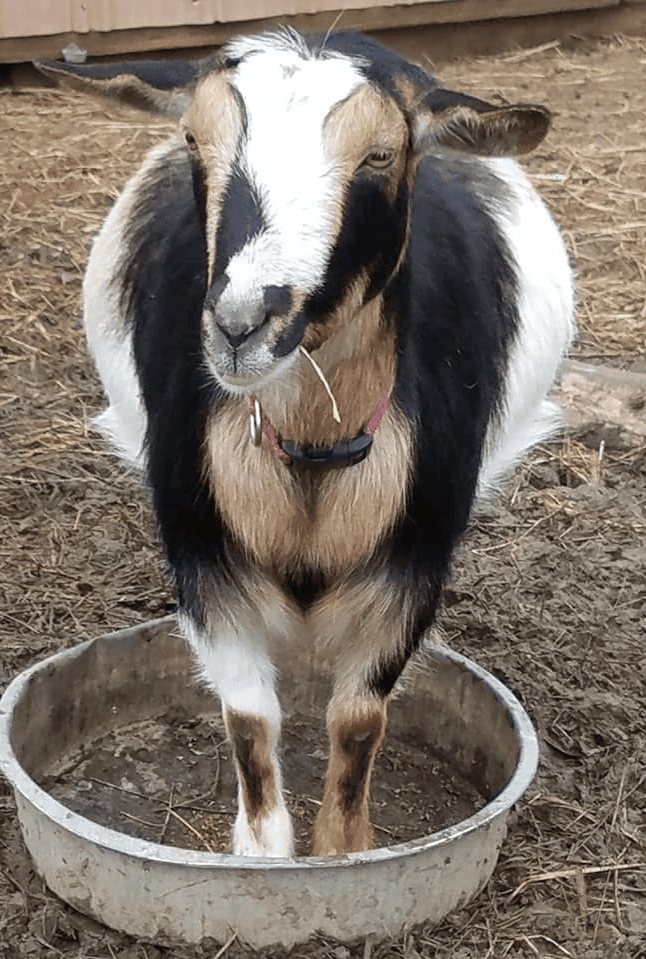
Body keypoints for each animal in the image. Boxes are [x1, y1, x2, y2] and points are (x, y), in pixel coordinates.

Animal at [37, 29, 574, 858]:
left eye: (382, 155)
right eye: (194, 140)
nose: (241, 324)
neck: (315, 449)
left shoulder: (415, 560)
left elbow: (357, 721)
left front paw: (345, 848)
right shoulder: (202, 554)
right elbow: (250, 719)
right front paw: (263, 853)